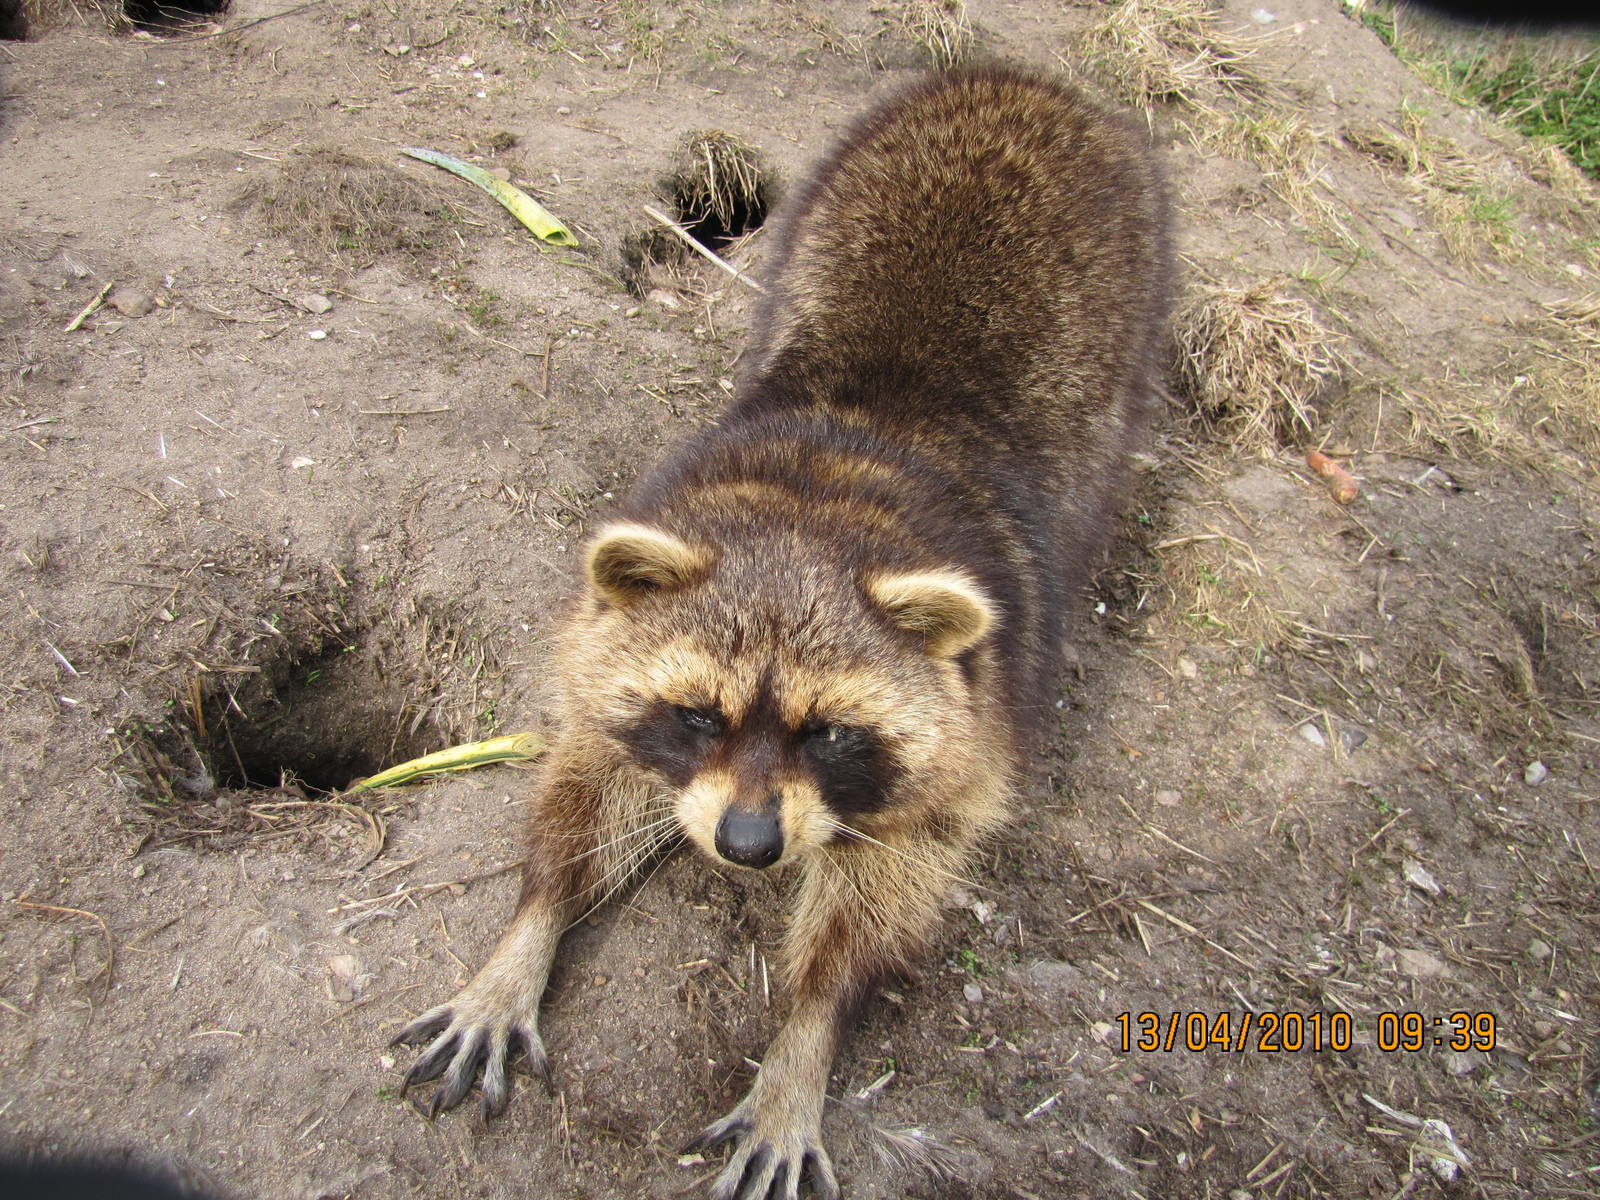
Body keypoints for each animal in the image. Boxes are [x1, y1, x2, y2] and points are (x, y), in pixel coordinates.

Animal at [391, 66, 1170, 1199]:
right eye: (695, 715)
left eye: (829, 733)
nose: (748, 848)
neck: (816, 513)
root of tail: (1019, 81)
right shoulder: (607, 675)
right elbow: (590, 790)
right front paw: (527, 934)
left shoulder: (969, 741)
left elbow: (882, 893)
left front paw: (805, 1039)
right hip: (824, 202)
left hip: (1128, 314)